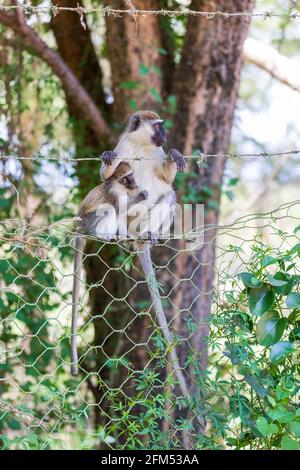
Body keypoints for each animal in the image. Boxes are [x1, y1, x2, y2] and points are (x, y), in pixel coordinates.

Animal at [70, 162, 148, 374]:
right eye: (126, 177)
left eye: (131, 175)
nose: (134, 182)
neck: (120, 186)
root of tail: (80, 227)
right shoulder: (116, 193)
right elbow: (119, 207)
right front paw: (141, 196)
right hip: (89, 222)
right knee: (108, 209)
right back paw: (101, 235)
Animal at [99, 110, 189, 396]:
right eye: (158, 127)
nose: (166, 135)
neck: (142, 144)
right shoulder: (123, 146)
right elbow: (107, 178)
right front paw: (107, 160)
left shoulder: (157, 154)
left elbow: (167, 179)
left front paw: (175, 154)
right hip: (128, 220)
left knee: (169, 195)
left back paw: (152, 235)